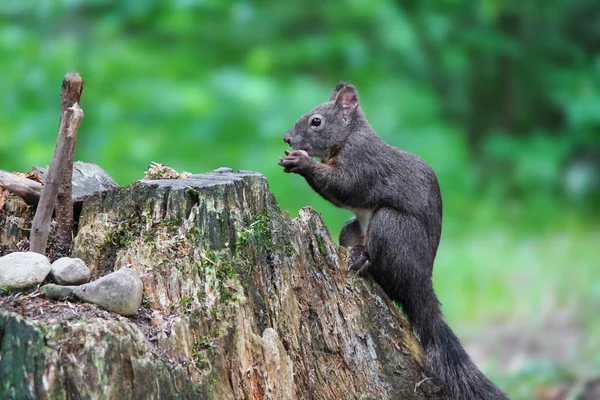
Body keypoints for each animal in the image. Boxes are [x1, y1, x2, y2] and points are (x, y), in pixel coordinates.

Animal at [276, 82, 506, 400]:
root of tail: (423, 284)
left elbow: (345, 185)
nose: (287, 137)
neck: (348, 137)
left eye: (316, 121)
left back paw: (365, 263)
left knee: (388, 274)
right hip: (352, 231)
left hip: (392, 227)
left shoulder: (362, 162)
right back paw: (358, 255)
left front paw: (301, 162)